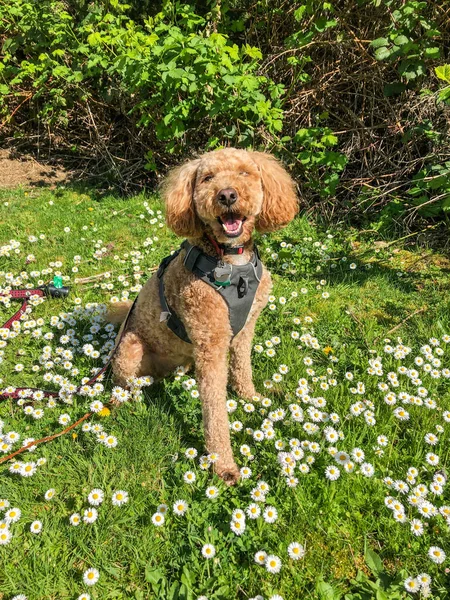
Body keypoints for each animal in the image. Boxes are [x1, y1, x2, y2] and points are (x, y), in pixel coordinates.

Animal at [106, 148, 298, 486]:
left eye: (245, 173)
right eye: (207, 178)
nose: (227, 195)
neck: (231, 263)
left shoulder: (244, 331)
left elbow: (243, 369)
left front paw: (250, 397)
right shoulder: (211, 343)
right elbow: (215, 411)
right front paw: (223, 465)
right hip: (129, 349)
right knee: (120, 382)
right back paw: (118, 403)